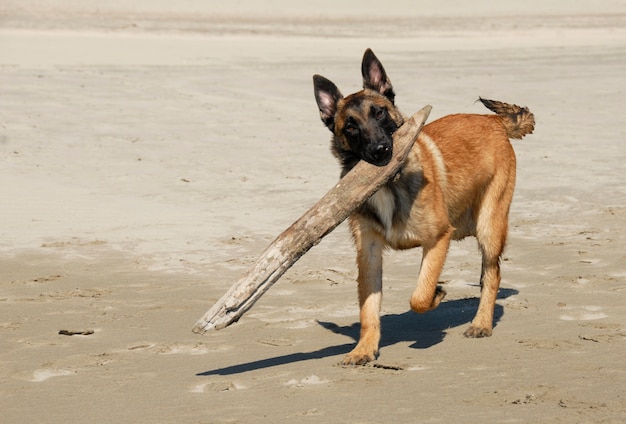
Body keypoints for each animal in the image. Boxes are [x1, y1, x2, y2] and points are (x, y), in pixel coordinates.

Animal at [312, 47, 532, 364]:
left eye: (379, 112)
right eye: (351, 126)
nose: (381, 151)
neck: (389, 184)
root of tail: (494, 122)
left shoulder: (438, 239)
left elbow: (420, 294)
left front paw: (437, 294)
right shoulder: (369, 254)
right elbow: (368, 310)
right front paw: (364, 348)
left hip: (490, 226)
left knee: (492, 274)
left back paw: (481, 323)